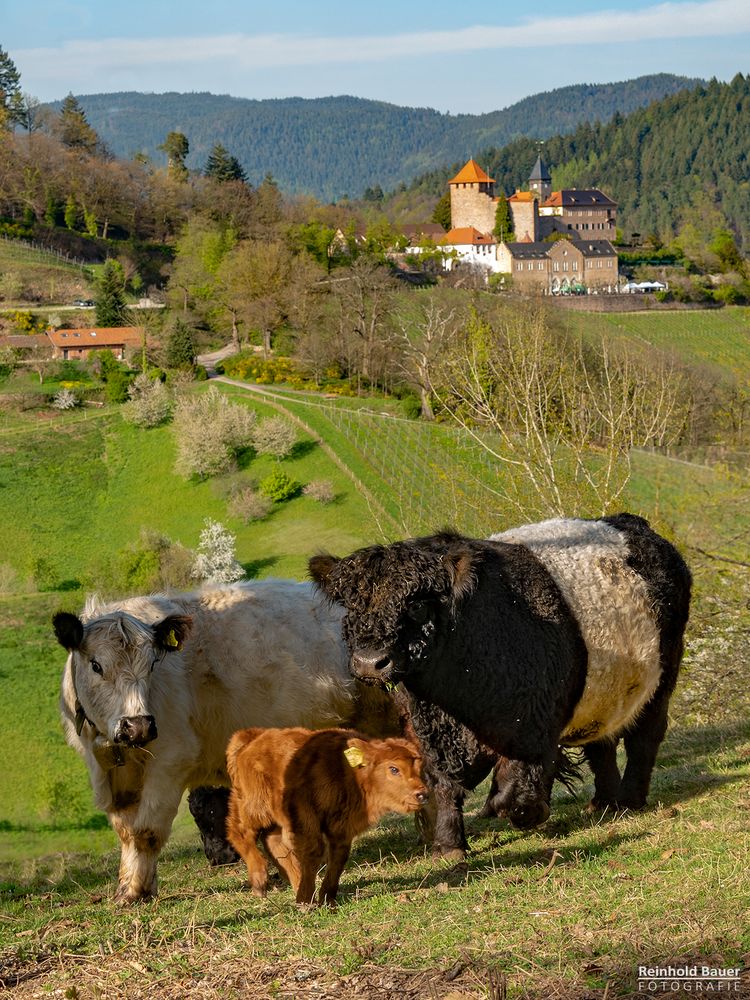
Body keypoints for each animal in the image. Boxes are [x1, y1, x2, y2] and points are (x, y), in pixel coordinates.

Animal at [225, 728, 428, 908]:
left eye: (419, 768)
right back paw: (260, 883)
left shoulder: (342, 827)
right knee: (239, 832)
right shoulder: (307, 817)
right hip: (254, 807)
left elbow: (338, 858)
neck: (348, 771)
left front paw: (326, 898)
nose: (422, 794)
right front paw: (306, 901)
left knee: (274, 843)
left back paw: (295, 884)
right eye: (393, 769)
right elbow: (314, 852)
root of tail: (252, 737)